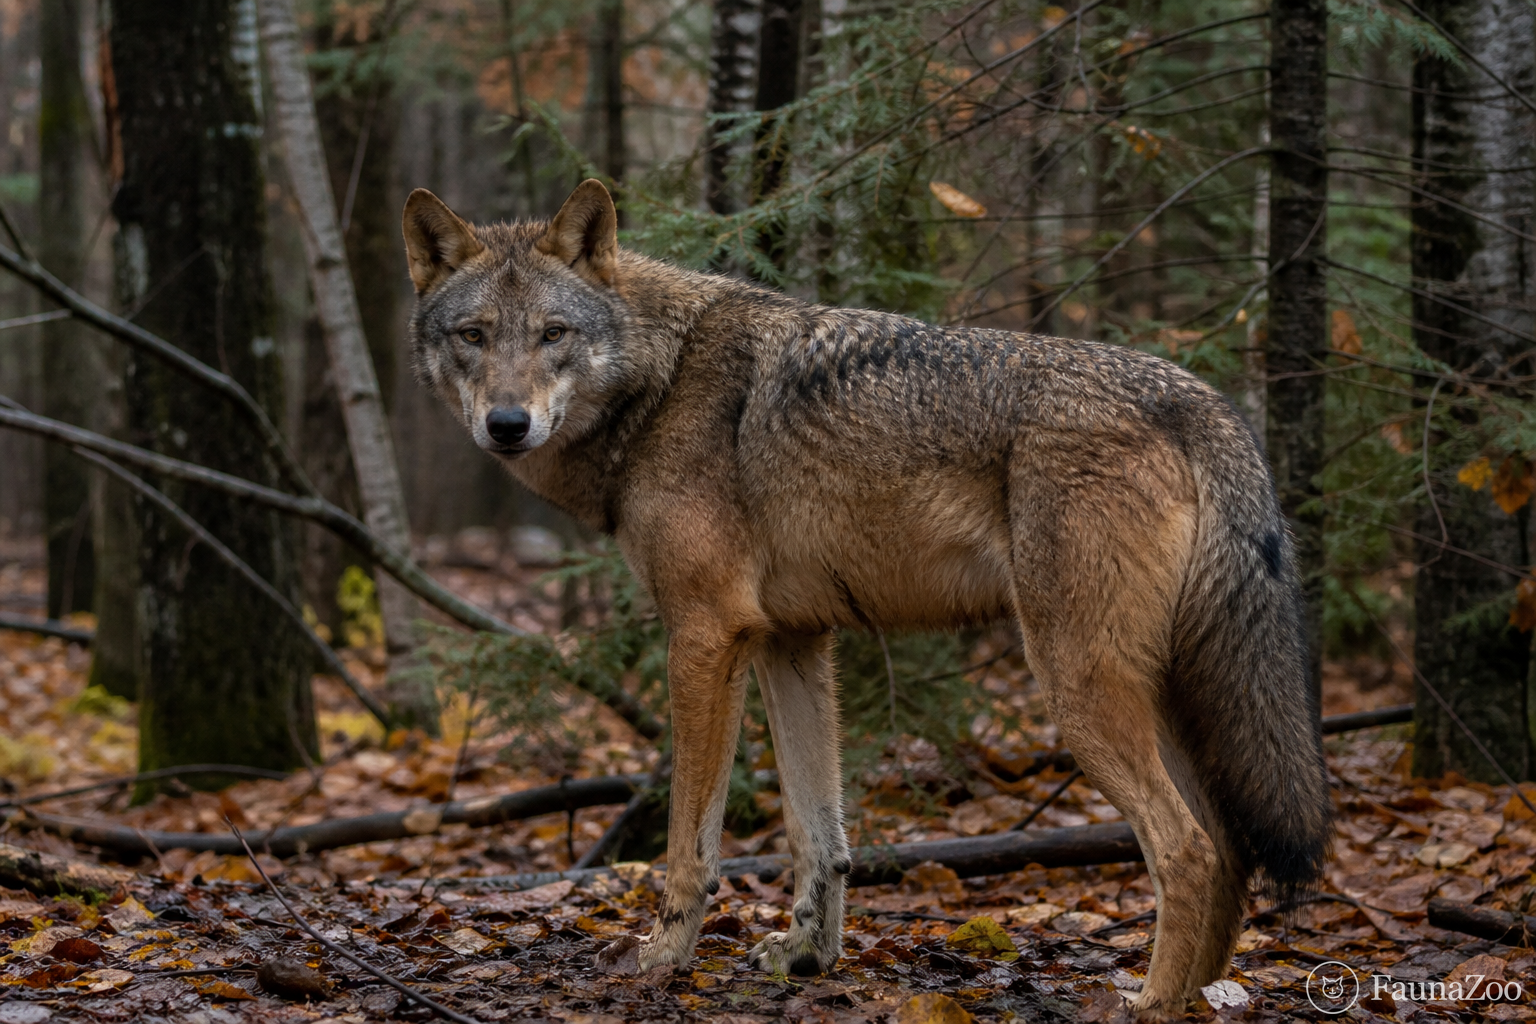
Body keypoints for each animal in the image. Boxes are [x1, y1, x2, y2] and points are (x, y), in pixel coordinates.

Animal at [402, 179, 1332, 1018]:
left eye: (553, 334)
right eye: (474, 336)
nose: (507, 424)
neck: (659, 384)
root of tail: (1202, 401)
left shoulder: (705, 636)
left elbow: (691, 843)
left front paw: (663, 960)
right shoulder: (792, 641)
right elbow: (820, 837)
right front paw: (807, 957)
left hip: (1080, 690)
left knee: (1188, 850)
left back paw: (1152, 1003)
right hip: (1159, 693)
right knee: (1232, 846)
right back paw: (1201, 996)